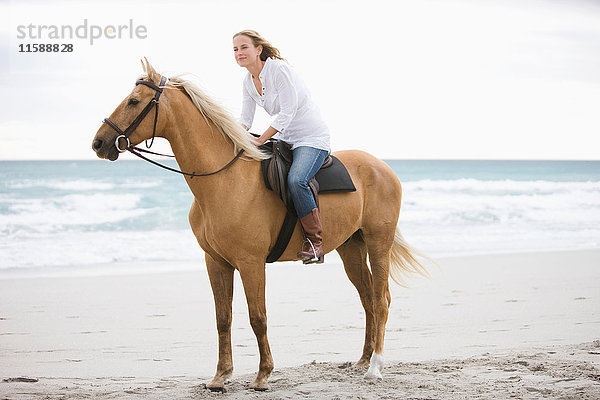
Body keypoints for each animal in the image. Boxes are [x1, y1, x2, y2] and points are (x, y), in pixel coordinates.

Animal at [91, 59, 426, 390]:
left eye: (134, 101)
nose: (99, 142)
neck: (224, 178)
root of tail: (383, 167)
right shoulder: (216, 262)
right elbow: (223, 318)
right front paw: (220, 376)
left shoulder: (251, 263)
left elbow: (257, 317)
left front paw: (263, 375)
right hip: (351, 248)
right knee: (368, 299)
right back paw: (363, 360)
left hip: (378, 242)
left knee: (381, 300)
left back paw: (375, 368)